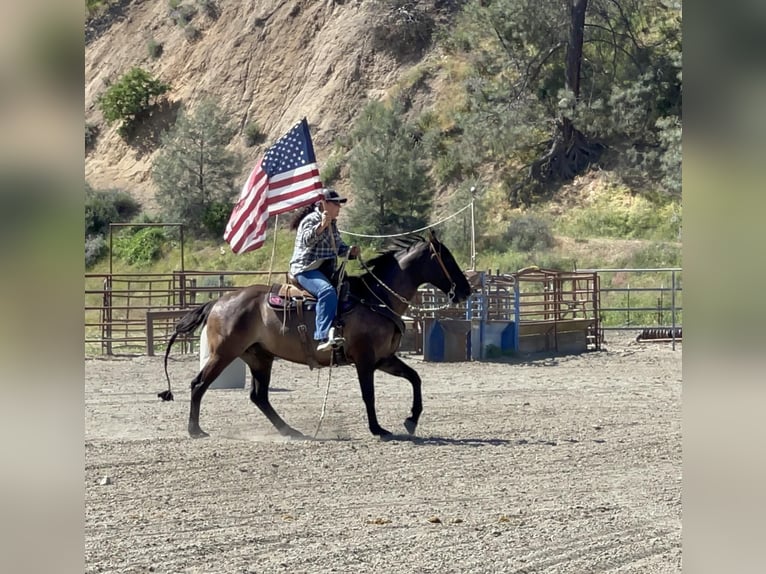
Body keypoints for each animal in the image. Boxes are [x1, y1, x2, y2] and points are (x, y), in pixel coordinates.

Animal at [160, 232, 474, 438]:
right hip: (224, 353)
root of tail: (217, 302)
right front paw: (377, 429)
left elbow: (415, 379)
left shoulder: (384, 358)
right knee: (199, 384)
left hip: (260, 357)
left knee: (259, 397)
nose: (466, 290)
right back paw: (195, 430)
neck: (376, 298)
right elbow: (368, 394)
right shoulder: (365, 359)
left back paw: (290, 430)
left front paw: (411, 420)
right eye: (446, 258)